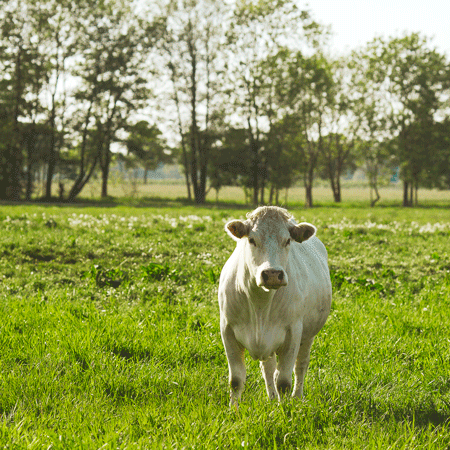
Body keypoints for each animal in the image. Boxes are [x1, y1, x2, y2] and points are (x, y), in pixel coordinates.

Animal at [218, 206, 330, 406]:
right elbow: (236, 380)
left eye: (287, 240)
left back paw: (297, 397)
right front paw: (233, 409)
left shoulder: (293, 333)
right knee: (269, 369)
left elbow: (284, 381)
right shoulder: (227, 330)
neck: (260, 303)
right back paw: (271, 398)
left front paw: (285, 409)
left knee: (300, 366)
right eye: (252, 240)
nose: (271, 274)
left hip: (308, 335)